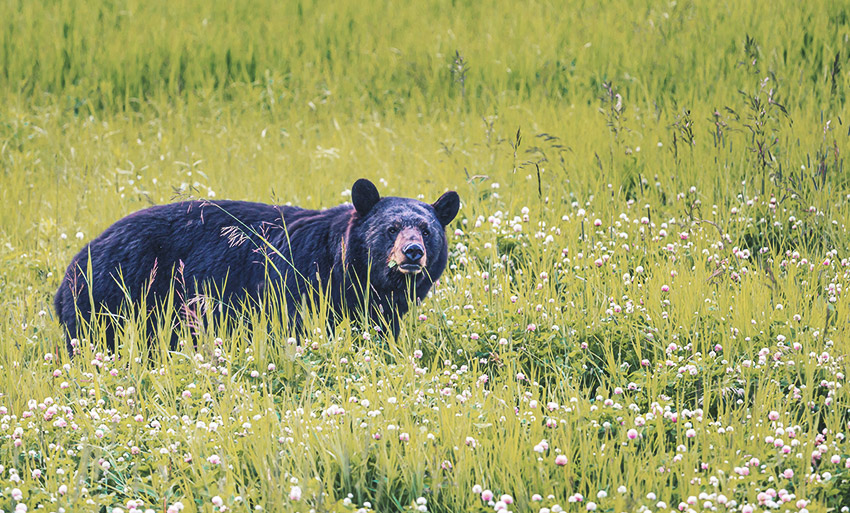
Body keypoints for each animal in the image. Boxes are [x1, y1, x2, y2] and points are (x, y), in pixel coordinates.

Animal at [53, 178, 458, 354]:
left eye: (426, 230)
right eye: (391, 228)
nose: (412, 253)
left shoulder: (380, 309)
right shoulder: (300, 285)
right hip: (114, 295)